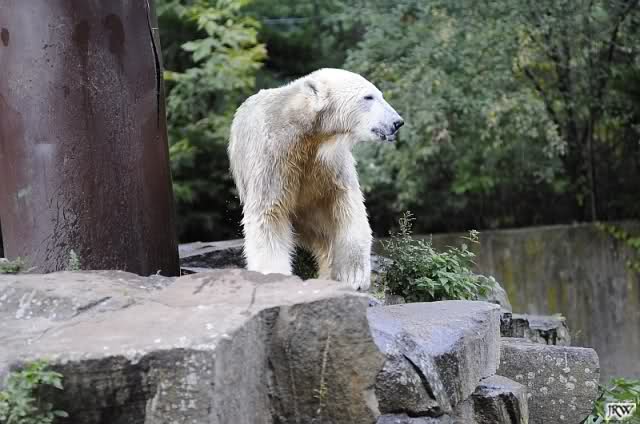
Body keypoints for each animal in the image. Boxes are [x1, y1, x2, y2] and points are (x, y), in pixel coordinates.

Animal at [228, 68, 403, 290]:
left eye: (379, 94)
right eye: (368, 97)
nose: (397, 122)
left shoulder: (330, 164)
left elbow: (348, 207)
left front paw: (354, 277)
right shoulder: (272, 159)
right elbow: (269, 214)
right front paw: (275, 276)